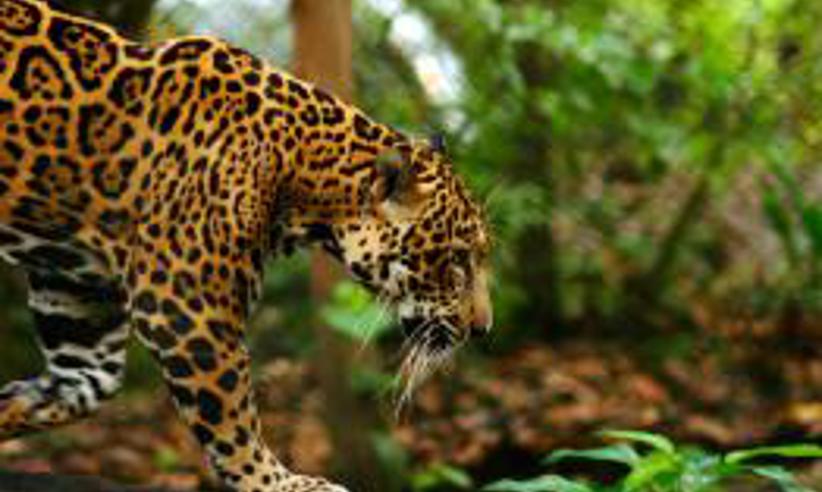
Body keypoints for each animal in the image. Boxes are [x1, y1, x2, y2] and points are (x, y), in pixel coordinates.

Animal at [0, 0, 493, 490]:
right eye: (457, 260)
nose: (483, 329)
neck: (299, 168)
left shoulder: (77, 294)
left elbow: (82, 386)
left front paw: (10, 408)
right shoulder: (185, 310)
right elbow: (232, 421)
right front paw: (275, 481)